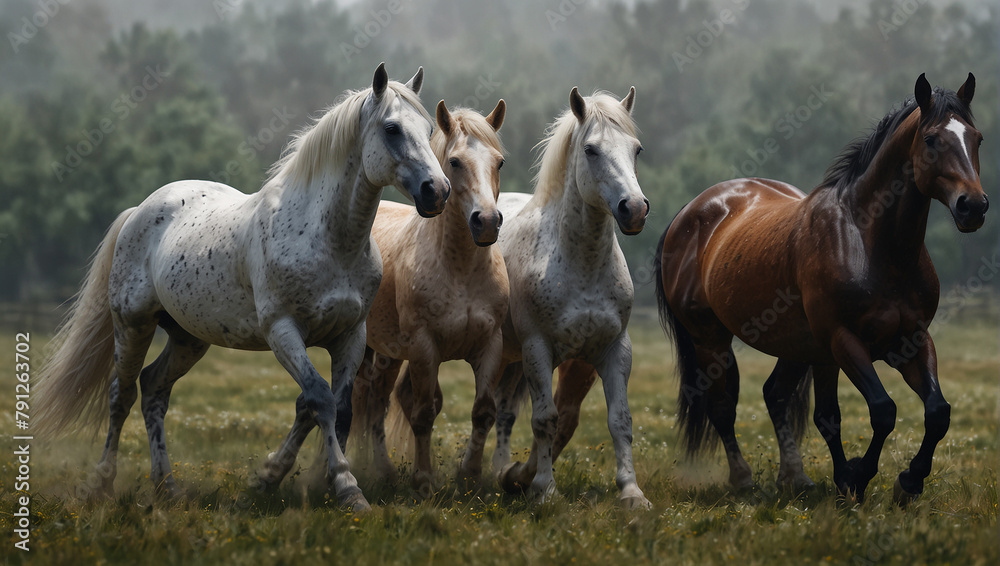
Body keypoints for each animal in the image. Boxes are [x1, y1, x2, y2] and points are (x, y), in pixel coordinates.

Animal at [35, 63, 450, 516]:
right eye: (392, 129)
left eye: (429, 129)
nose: (438, 191)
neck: (329, 240)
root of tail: (138, 211)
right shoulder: (283, 331)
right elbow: (319, 399)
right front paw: (346, 488)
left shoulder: (350, 336)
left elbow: (333, 408)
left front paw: (289, 481)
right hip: (133, 325)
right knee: (121, 395)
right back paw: (101, 485)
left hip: (188, 338)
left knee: (154, 390)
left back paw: (167, 487)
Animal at [350, 101, 512, 496]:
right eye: (454, 162)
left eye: (499, 162)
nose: (486, 221)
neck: (460, 270)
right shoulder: (425, 348)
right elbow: (423, 412)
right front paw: (423, 481)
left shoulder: (491, 345)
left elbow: (483, 412)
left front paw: (469, 477)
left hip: (391, 354)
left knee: (376, 403)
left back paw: (386, 472)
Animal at [480, 87, 652, 510]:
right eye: (591, 150)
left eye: (636, 149)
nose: (634, 209)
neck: (582, 266)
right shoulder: (538, 349)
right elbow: (546, 419)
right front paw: (543, 489)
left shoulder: (612, 351)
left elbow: (618, 420)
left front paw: (632, 492)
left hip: (511, 359)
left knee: (502, 412)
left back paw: (500, 470)